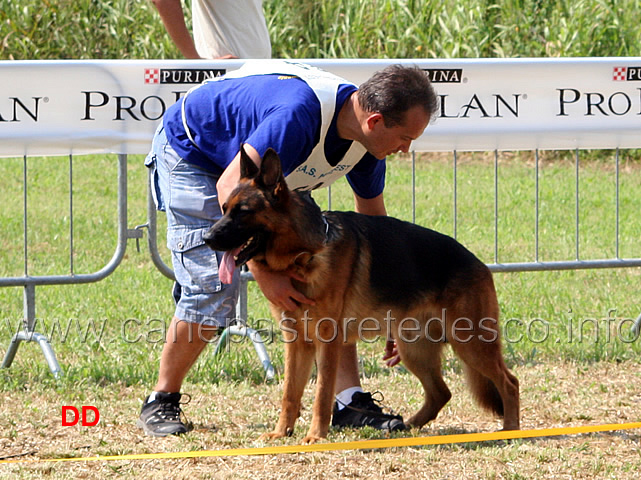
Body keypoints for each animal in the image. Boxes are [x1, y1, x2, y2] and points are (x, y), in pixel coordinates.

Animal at [202, 146, 516, 442]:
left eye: (243, 211)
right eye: (224, 208)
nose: (206, 238)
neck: (306, 254)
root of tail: (478, 263)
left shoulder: (327, 342)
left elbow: (322, 394)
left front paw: (316, 435)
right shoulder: (297, 342)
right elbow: (290, 393)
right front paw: (281, 433)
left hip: (470, 343)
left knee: (509, 383)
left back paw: (510, 429)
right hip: (415, 349)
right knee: (441, 392)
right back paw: (407, 425)